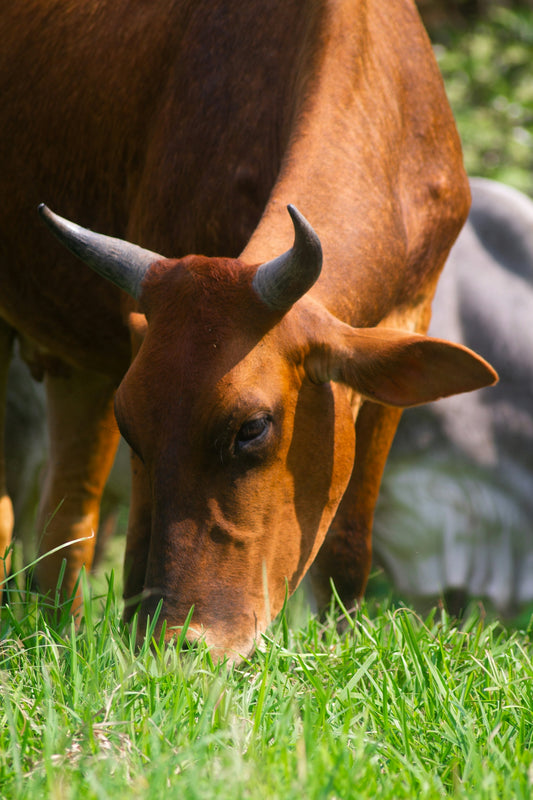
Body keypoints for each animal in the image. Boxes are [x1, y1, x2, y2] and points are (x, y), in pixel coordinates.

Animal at [0, 0, 496, 659]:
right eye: (132, 423)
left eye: (253, 428)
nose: (180, 639)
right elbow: (138, 541)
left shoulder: (413, 314)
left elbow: (348, 550)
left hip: (74, 368)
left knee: (66, 517)